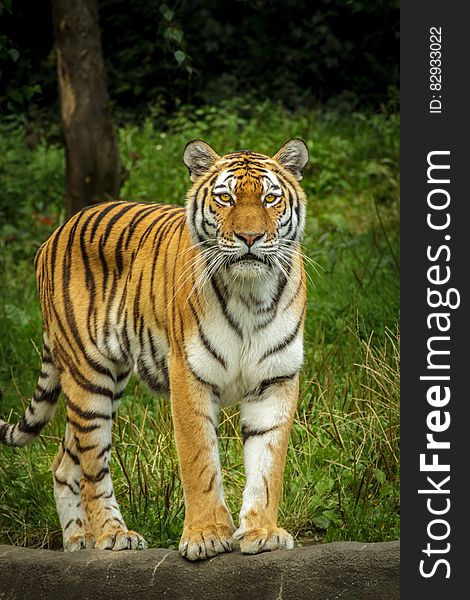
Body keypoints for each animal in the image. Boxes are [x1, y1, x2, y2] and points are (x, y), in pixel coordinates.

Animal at [0, 138, 308, 560]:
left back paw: (77, 541)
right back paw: (112, 535)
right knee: (92, 465)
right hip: (89, 376)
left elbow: (268, 464)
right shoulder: (189, 374)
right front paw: (206, 535)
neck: (251, 294)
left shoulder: (276, 379)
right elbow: (199, 460)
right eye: (225, 198)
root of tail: (55, 233)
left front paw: (262, 532)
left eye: (270, 198)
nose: (249, 238)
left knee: (64, 462)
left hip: (104, 381)